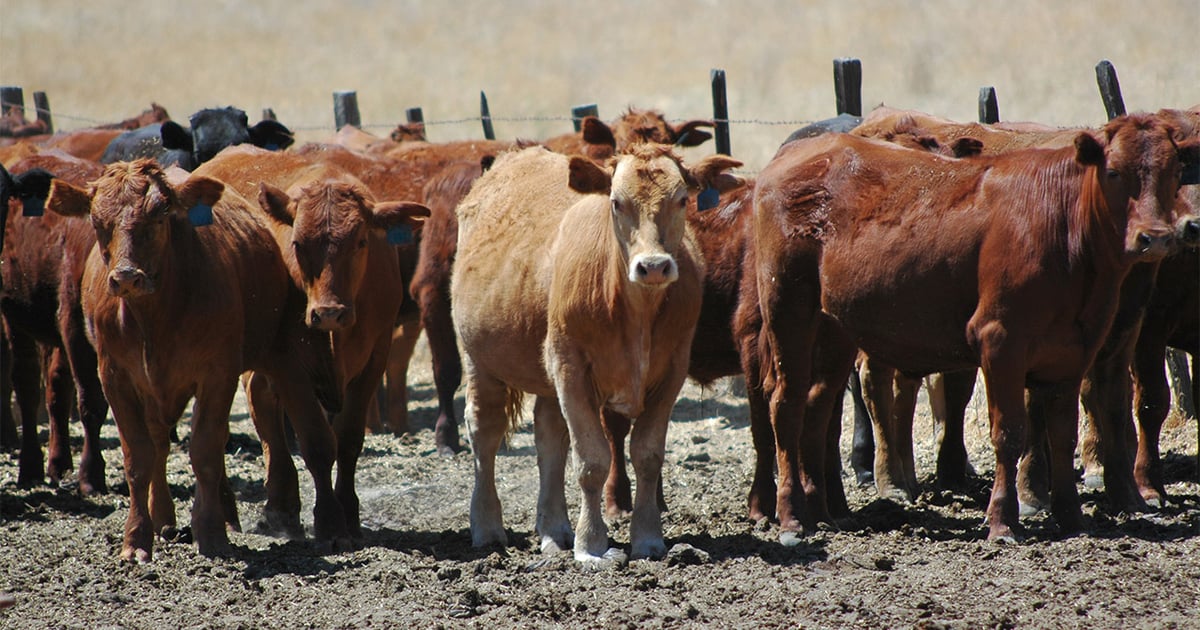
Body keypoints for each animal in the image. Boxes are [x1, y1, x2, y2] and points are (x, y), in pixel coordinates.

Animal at [193, 145, 429, 539]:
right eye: (298, 244)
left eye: (361, 241)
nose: (328, 313)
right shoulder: (289, 363)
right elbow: (318, 443)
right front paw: (330, 520)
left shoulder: (375, 355)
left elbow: (348, 439)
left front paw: (349, 512)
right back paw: (233, 511)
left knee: (262, 404)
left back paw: (281, 504)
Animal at [452, 145, 742, 561]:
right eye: (616, 202)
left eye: (682, 200)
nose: (653, 266)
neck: (634, 310)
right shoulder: (571, 367)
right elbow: (592, 461)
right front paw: (590, 545)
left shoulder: (671, 371)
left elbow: (647, 455)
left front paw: (648, 539)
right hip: (479, 359)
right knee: (484, 431)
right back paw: (488, 527)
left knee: (550, 438)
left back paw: (554, 531)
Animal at [752, 115, 1198, 542]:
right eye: (1114, 171)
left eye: (1174, 172)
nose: (1156, 238)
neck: (1059, 223)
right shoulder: (1000, 340)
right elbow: (1010, 432)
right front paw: (1003, 521)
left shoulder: (1073, 352)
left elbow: (1062, 435)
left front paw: (1072, 519)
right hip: (787, 308)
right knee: (786, 405)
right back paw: (792, 518)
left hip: (834, 329)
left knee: (817, 406)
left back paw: (820, 512)